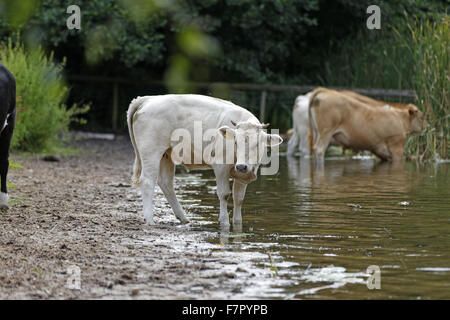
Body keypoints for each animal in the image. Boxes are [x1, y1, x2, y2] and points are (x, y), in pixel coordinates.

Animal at [126, 94, 282, 226]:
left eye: (258, 144)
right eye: (236, 142)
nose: (242, 166)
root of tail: (148, 99)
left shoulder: (244, 175)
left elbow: (239, 198)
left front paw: (238, 223)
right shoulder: (220, 166)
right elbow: (224, 194)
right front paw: (224, 222)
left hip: (166, 154)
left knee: (166, 183)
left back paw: (183, 218)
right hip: (151, 151)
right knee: (147, 181)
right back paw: (150, 220)